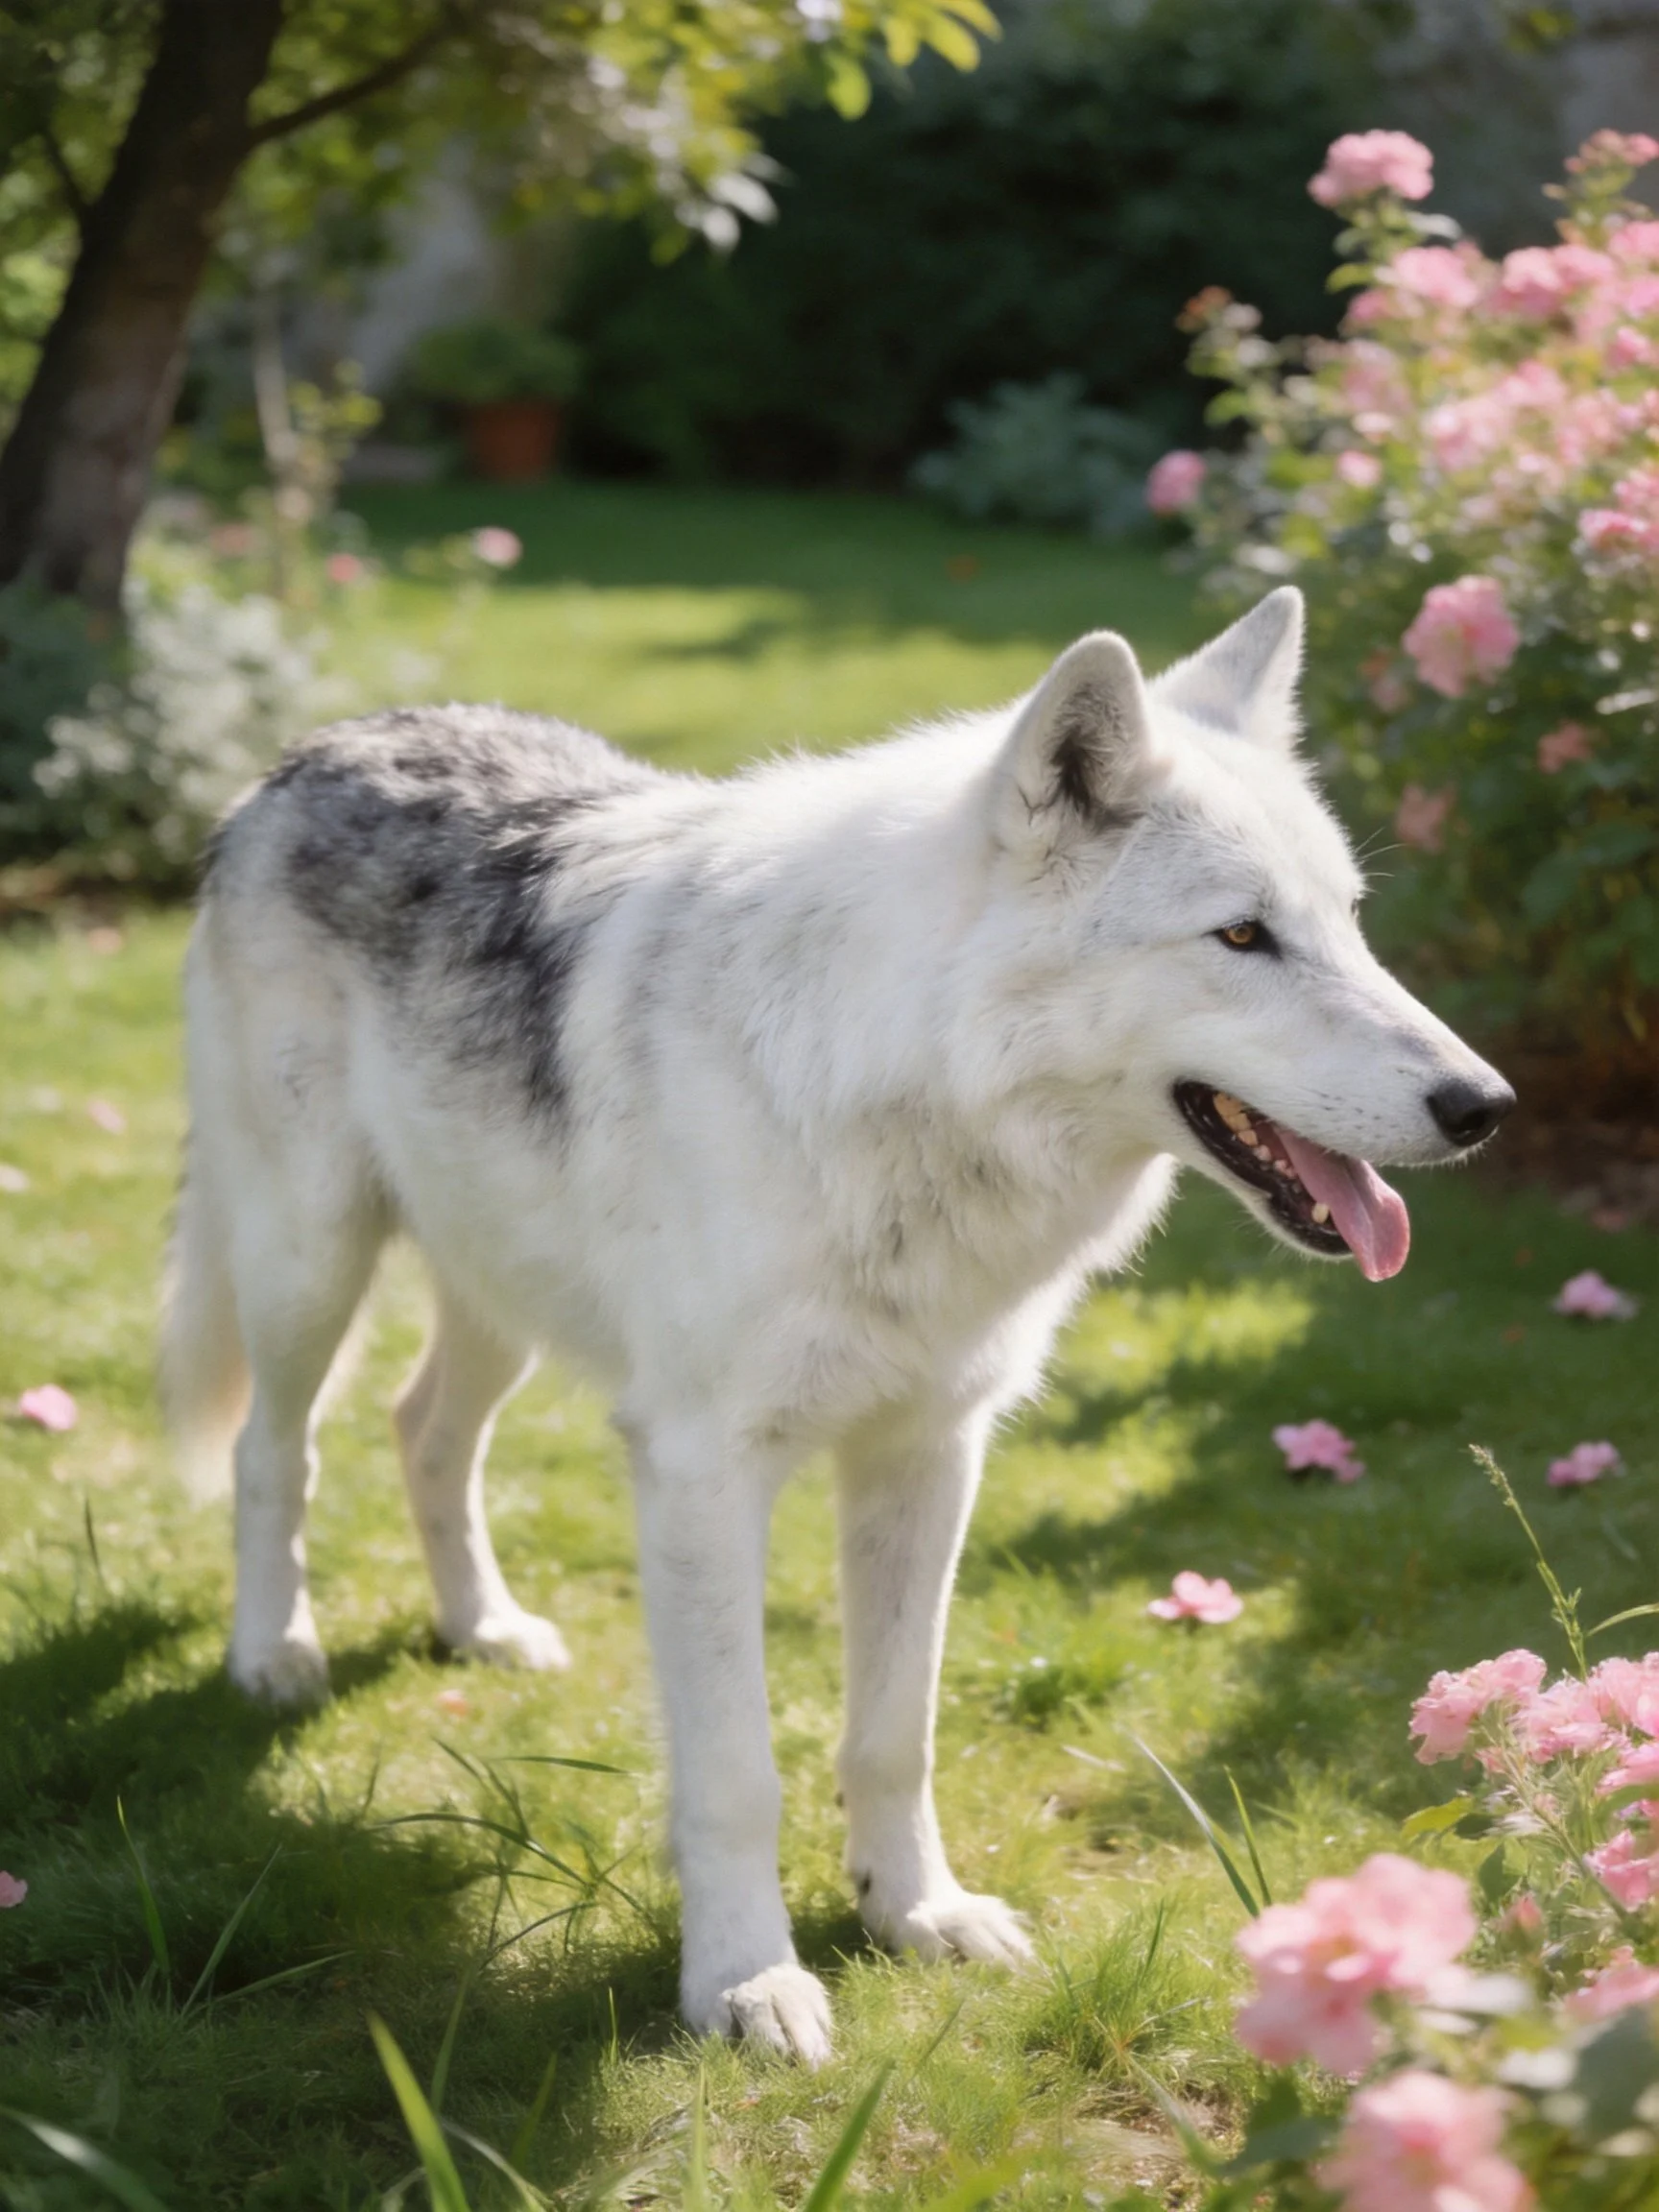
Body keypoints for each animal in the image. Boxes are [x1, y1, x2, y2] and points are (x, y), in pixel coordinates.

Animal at [163, 587, 1513, 2062]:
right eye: (1241, 938)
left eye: (1351, 922)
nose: (1486, 1106)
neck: (892, 1089)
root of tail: (321, 746)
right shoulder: (700, 1470)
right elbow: (734, 1774)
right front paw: (746, 1984)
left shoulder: (929, 1453)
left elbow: (894, 1732)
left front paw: (914, 1913)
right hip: (309, 1263)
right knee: (273, 1453)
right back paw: (274, 1657)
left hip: (498, 1298)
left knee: (423, 1433)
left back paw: (486, 1632)